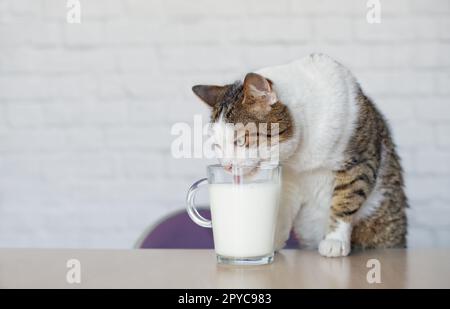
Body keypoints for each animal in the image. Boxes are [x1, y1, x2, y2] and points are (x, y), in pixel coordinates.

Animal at [191, 54, 408, 256]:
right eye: (217, 146)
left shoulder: (359, 160)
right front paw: (271, 241)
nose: (227, 166)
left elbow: (347, 197)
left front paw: (335, 240)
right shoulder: (289, 179)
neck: (300, 157)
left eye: (240, 141)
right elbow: (281, 209)